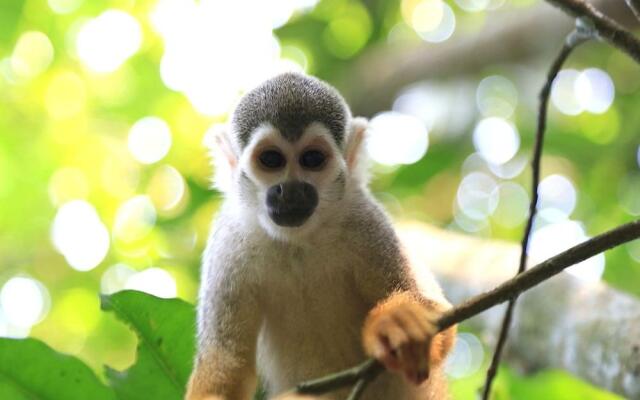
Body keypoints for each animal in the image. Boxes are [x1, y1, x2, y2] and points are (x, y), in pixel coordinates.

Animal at [188, 73, 458, 398]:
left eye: (312, 159)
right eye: (271, 159)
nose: (289, 190)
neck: (298, 242)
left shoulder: (367, 223)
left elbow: (435, 314)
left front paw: (396, 322)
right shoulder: (228, 245)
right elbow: (227, 364)